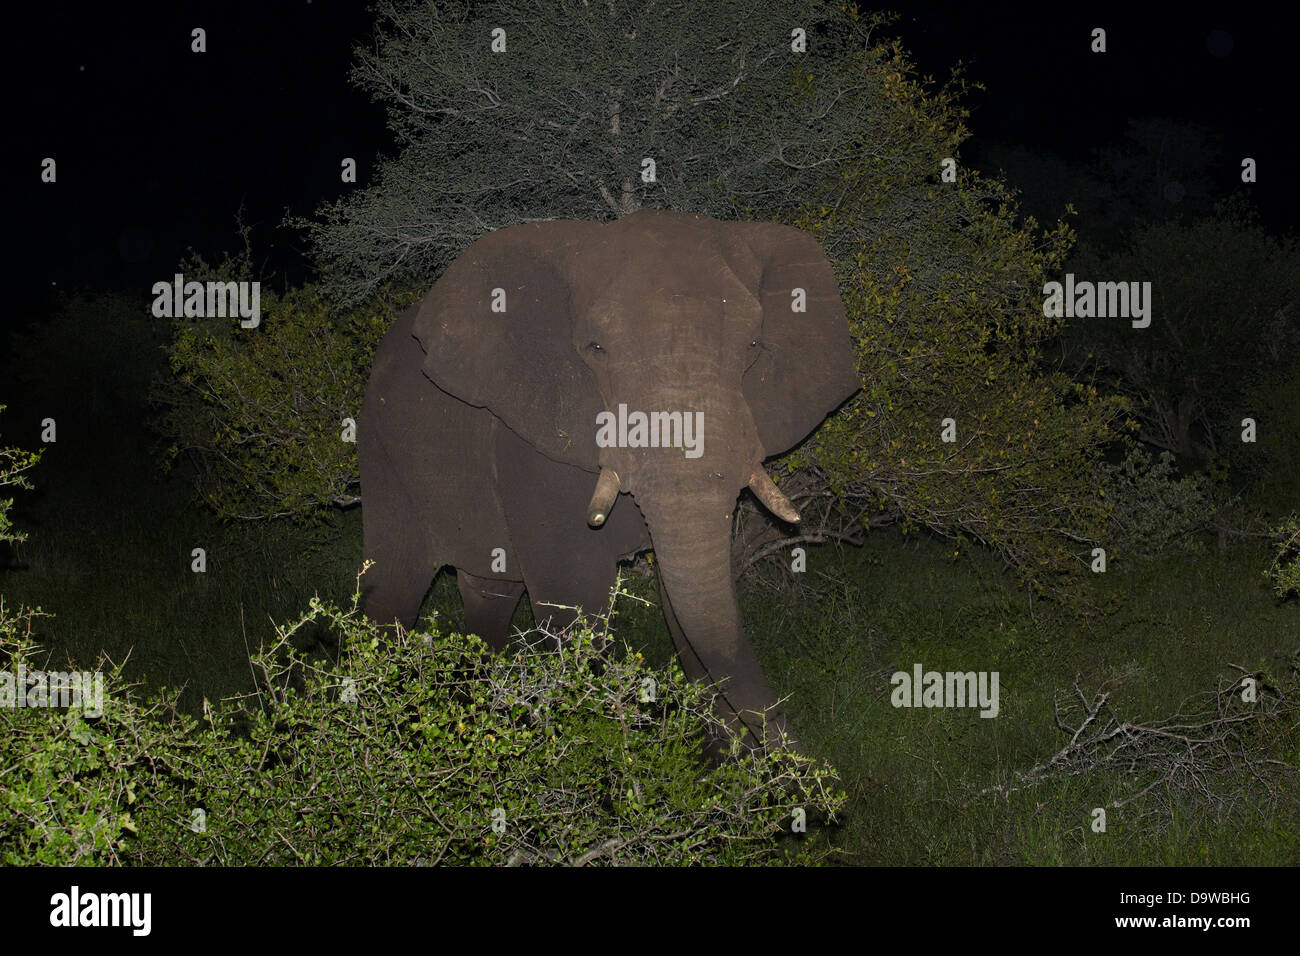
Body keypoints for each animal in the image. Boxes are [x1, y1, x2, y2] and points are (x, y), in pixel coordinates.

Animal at [359, 208, 858, 747]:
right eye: (595, 348)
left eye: (752, 347)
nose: (806, 763)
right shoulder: (527, 446)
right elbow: (576, 604)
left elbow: (684, 608)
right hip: (382, 452)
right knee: (393, 587)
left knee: (490, 591)